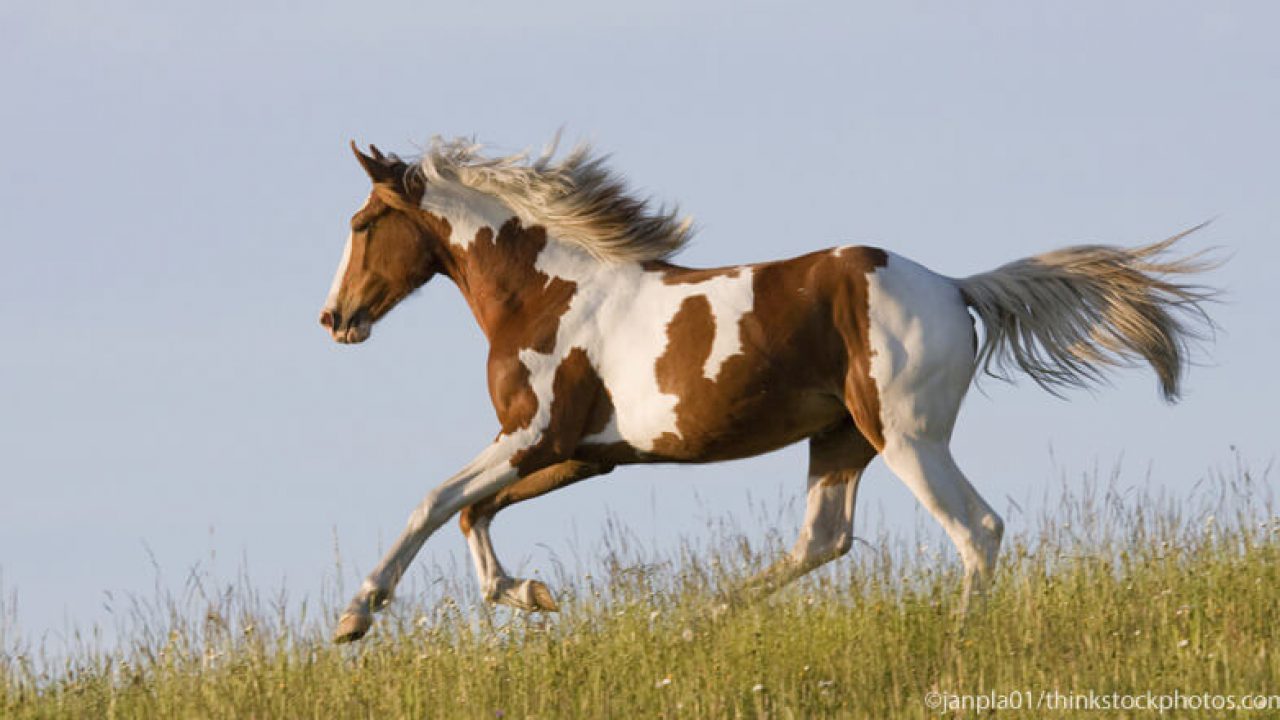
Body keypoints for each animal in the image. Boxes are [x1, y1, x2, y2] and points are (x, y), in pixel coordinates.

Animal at [317, 134, 1208, 638]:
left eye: (362, 224)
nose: (334, 317)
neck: (549, 294)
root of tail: (957, 288)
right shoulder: (583, 453)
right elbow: (475, 511)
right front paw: (534, 596)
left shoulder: (532, 435)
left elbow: (434, 501)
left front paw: (356, 615)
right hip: (841, 439)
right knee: (823, 540)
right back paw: (697, 620)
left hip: (908, 437)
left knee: (976, 529)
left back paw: (959, 642)